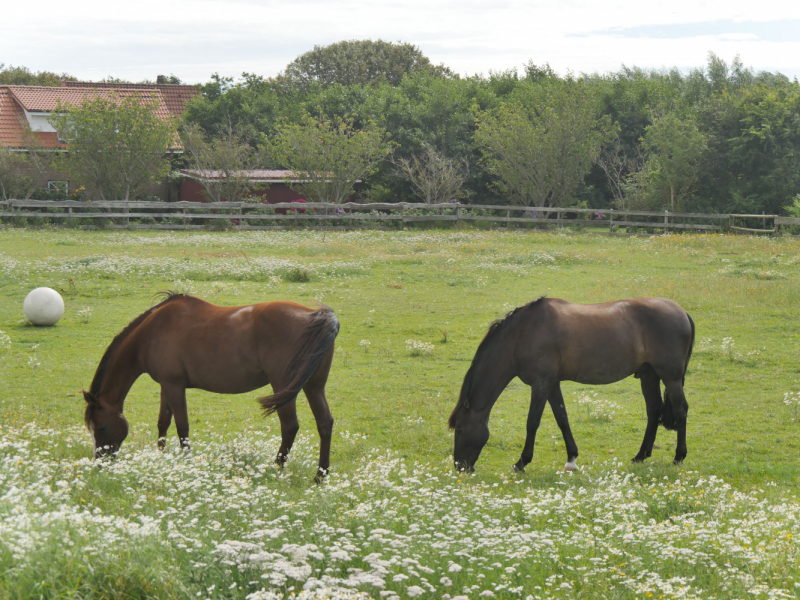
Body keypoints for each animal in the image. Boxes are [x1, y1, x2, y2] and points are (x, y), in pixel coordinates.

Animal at [83, 292, 340, 480]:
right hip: (314, 386)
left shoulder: (174, 386)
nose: (99, 464)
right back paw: (320, 476)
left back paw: (275, 469)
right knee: (324, 423)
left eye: (102, 427)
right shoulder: (167, 385)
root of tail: (318, 316)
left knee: (290, 427)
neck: (152, 331)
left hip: (284, 387)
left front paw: (185, 464)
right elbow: (163, 422)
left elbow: (182, 427)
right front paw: (160, 457)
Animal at [450, 298, 692, 472]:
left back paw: (678, 457)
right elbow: (562, 419)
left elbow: (532, 423)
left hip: (670, 377)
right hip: (648, 375)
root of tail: (682, 312)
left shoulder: (540, 383)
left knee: (681, 410)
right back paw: (640, 456)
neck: (523, 334)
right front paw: (571, 459)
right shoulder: (551, 383)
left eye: (460, 429)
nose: (460, 467)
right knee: (653, 411)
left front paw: (522, 462)